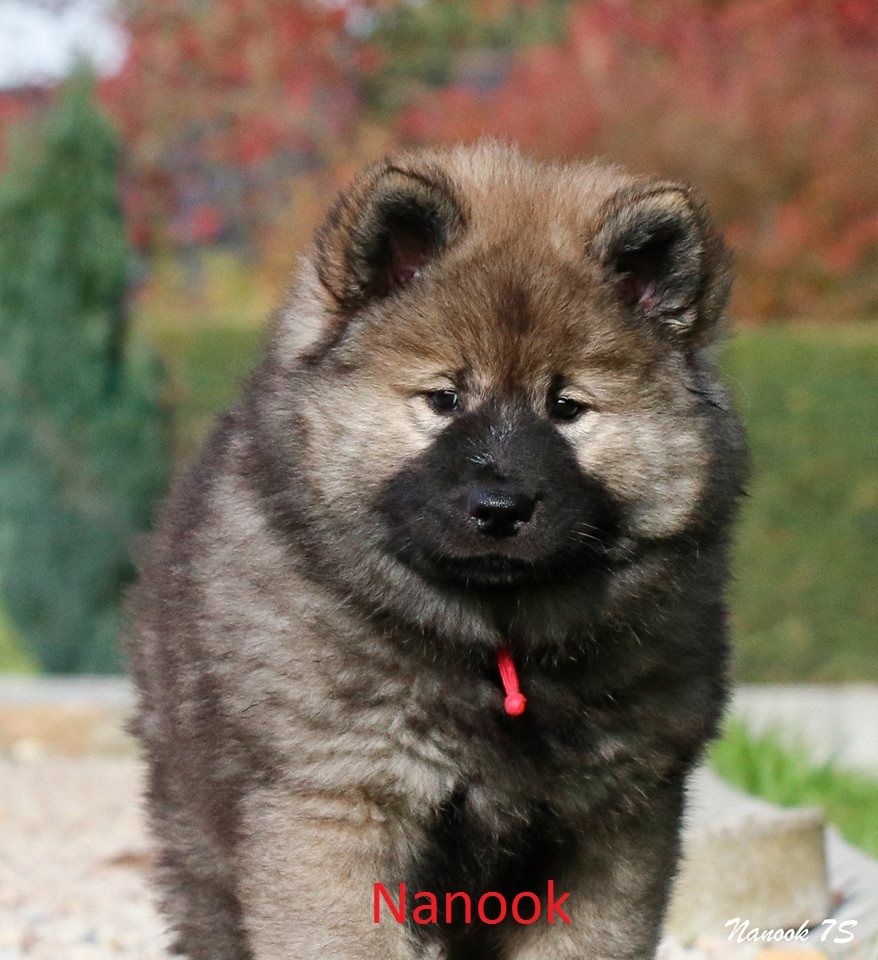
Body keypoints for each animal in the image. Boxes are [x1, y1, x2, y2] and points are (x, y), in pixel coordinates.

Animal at [130, 141, 747, 960]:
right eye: (444, 399)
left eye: (567, 408)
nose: (500, 508)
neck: (496, 649)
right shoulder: (338, 798)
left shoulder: (615, 823)